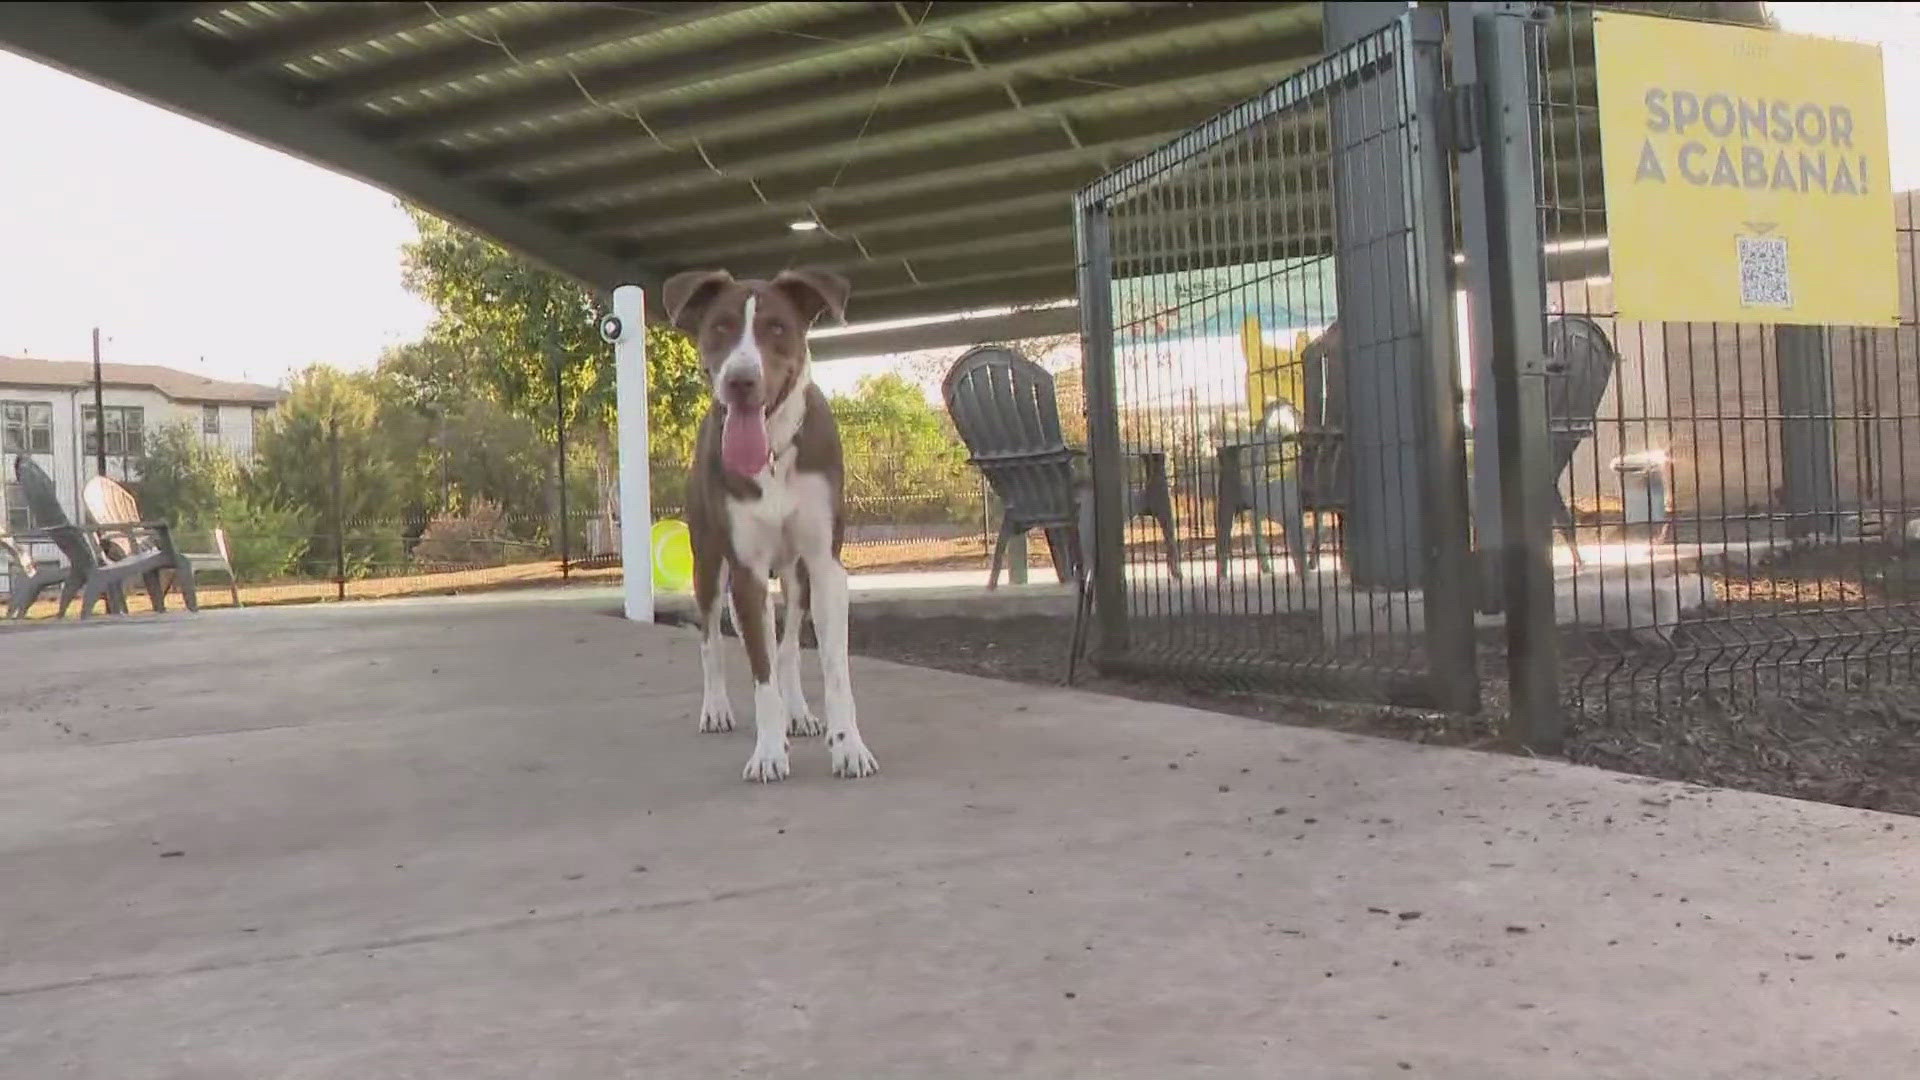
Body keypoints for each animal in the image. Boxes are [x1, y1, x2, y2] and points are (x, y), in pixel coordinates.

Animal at [660, 265, 871, 776]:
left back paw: (799, 713)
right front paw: (770, 751)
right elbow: (759, 672)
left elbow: (833, 668)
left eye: (776, 327)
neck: (772, 448)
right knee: (712, 639)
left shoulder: (825, 566)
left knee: (790, 644)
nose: (740, 380)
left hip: (796, 574)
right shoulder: (746, 571)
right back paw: (717, 707)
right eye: (720, 326)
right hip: (708, 565)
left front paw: (849, 745)